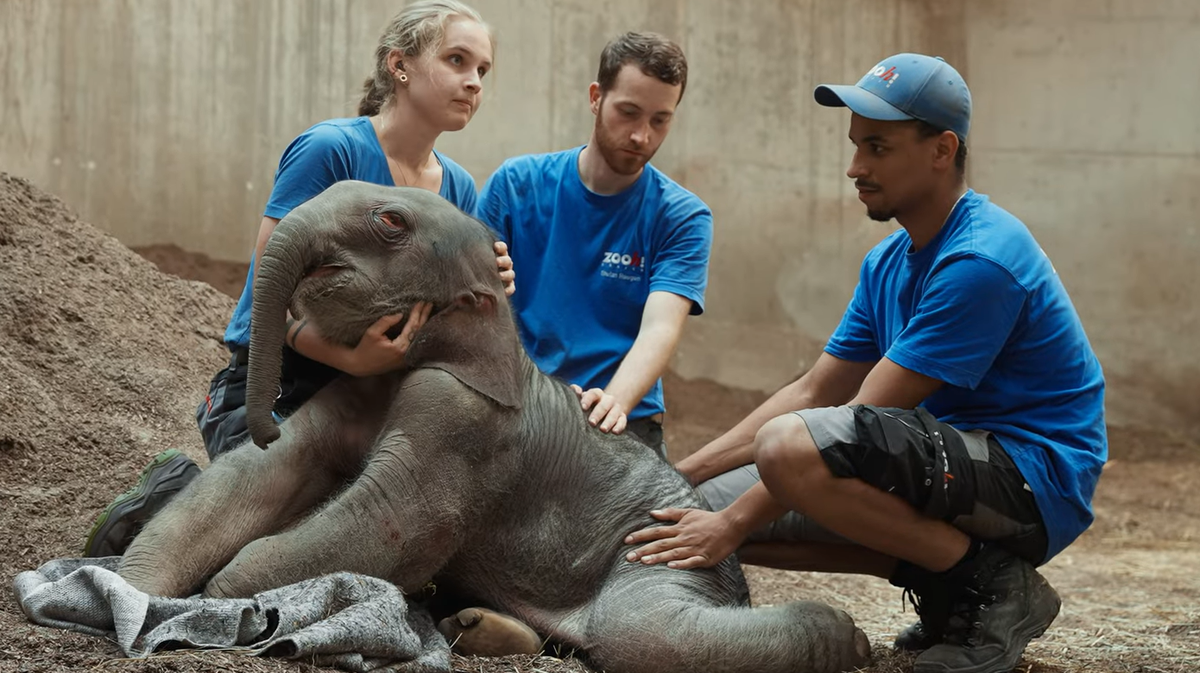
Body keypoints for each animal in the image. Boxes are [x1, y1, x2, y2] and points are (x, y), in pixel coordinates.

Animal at [117, 181, 871, 673]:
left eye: (389, 221)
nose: (261, 419)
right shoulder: (364, 386)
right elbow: (270, 471)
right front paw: (140, 589)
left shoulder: (467, 422)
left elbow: (392, 523)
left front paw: (217, 602)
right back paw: (475, 626)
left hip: (665, 554)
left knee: (643, 633)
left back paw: (853, 640)